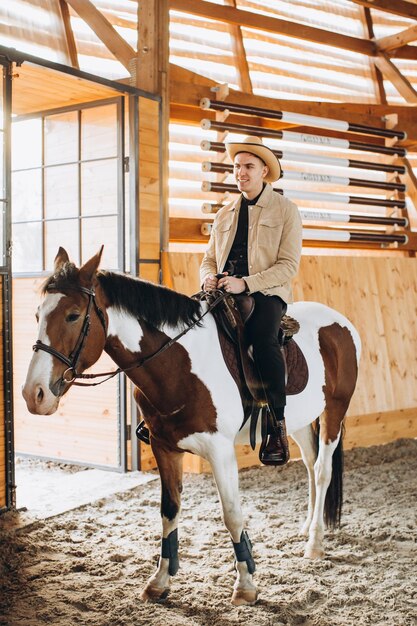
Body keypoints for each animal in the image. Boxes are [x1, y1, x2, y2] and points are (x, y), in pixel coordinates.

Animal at [22, 246, 360, 604]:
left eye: (73, 315)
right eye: (38, 315)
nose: (34, 394)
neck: (179, 362)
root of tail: (341, 323)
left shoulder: (220, 451)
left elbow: (232, 514)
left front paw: (246, 585)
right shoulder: (165, 447)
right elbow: (169, 511)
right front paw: (159, 581)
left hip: (335, 410)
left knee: (322, 470)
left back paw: (315, 542)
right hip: (295, 421)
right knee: (309, 463)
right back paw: (307, 527)